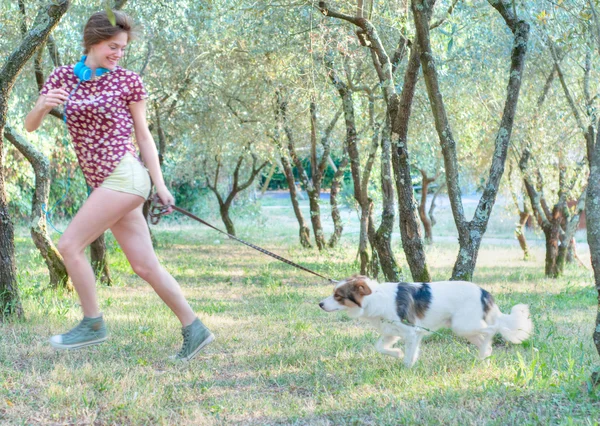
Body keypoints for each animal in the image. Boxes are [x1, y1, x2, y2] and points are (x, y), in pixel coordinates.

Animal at [322, 274, 532, 368]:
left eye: (338, 296)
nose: (320, 304)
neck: (375, 297)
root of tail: (484, 292)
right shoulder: (391, 332)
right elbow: (380, 347)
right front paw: (397, 354)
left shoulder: (411, 331)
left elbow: (409, 355)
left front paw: (406, 367)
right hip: (464, 329)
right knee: (484, 340)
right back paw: (483, 357)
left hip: (463, 325)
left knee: (491, 330)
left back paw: (484, 352)